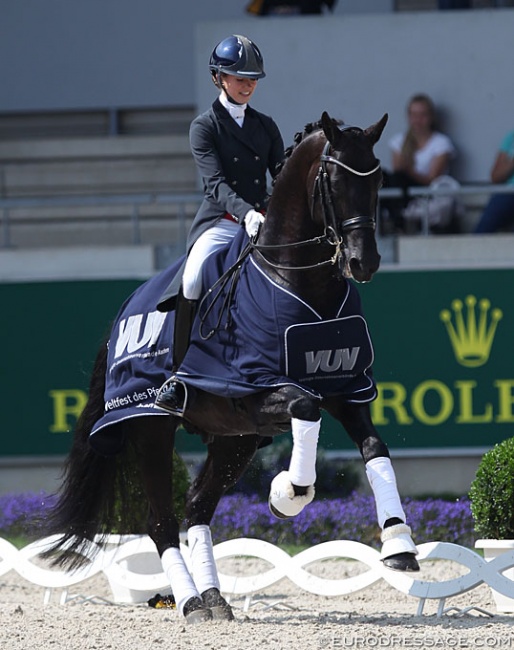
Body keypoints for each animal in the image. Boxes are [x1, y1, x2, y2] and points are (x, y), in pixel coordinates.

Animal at [44, 111, 418, 624]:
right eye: (335, 180)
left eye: (378, 179)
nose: (364, 262)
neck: (301, 280)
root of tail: (124, 313)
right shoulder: (254, 388)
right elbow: (305, 409)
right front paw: (287, 494)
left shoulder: (347, 388)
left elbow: (374, 447)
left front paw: (400, 547)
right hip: (151, 428)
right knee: (161, 521)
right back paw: (190, 603)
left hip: (233, 440)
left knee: (197, 508)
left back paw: (215, 599)